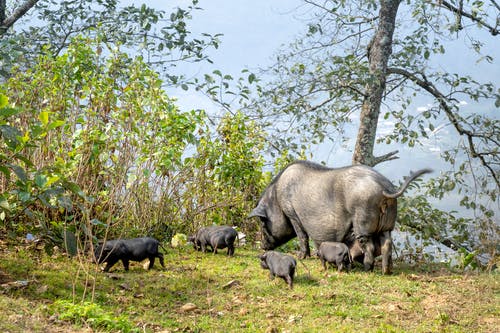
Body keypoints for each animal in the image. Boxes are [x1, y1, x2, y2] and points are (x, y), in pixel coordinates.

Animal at [250, 160, 430, 272]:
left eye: (263, 222)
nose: (262, 246)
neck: (276, 199)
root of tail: (385, 188)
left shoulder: (292, 213)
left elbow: (302, 236)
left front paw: (302, 257)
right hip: (387, 224)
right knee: (387, 244)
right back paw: (387, 271)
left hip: (362, 221)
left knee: (370, 245)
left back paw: (368, 268)